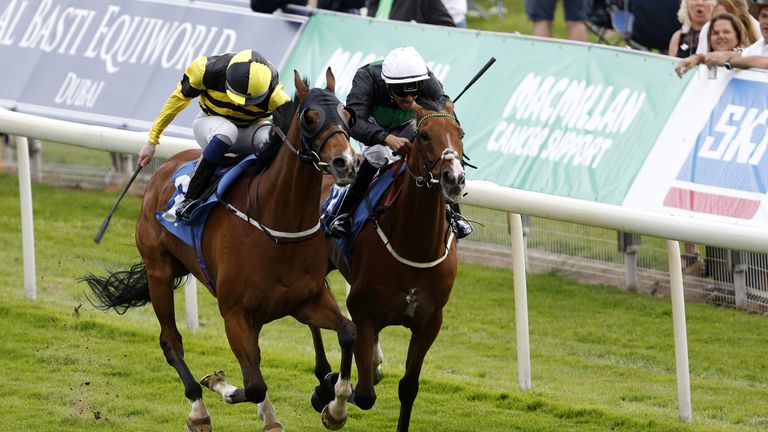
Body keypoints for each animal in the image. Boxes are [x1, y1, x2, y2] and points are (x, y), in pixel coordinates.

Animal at [79, 69, 362, 430]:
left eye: (348, 117)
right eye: (310, 118)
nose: (347, 163)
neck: (276, 225)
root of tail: (164, 168)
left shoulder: (307, 300)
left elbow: (348, 332)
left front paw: (334, 406)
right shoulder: (235, 314)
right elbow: (253, 384)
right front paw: (217, 383)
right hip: (159, 272)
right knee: (171, 342)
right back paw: (198, 409)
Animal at [308, 98, 464, 432]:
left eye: (460, 133)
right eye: (424, 136)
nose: (454, 179)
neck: (415, 245)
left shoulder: (430, 321)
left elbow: (408, 388)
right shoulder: (363, 311)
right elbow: (365, 394)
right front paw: (334, 401)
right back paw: (325, 376)